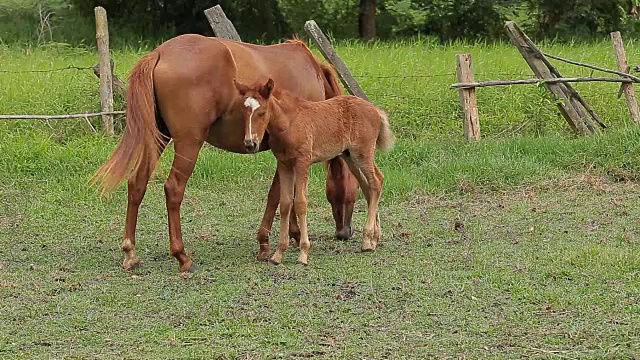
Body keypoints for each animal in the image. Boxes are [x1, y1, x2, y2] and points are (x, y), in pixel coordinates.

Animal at [92, 34, 358, 272]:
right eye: (355, 191)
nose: (345, 233)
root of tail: (160, 53)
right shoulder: (287, 153)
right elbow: (278, 195)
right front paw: (266, 244)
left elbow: (286, 194)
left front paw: (290, 234)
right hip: (189, 143)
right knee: (174, 189)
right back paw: (182, 256)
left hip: (159, 139)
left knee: (137, 184)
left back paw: (130, 253)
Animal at [235, 78, 396, 264]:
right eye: (244, 112)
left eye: (262, 112)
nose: (250, 144)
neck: (289, 123)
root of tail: (376, 110)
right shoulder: (284, 164)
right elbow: (285, 203)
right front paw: (278, 254)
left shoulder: (302, 162)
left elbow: (300, 203)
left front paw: (303, 253)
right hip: (350, 156)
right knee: (369, 185)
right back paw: (373, 239)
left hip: (363, 153)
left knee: (376, 182)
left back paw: (367, 240)